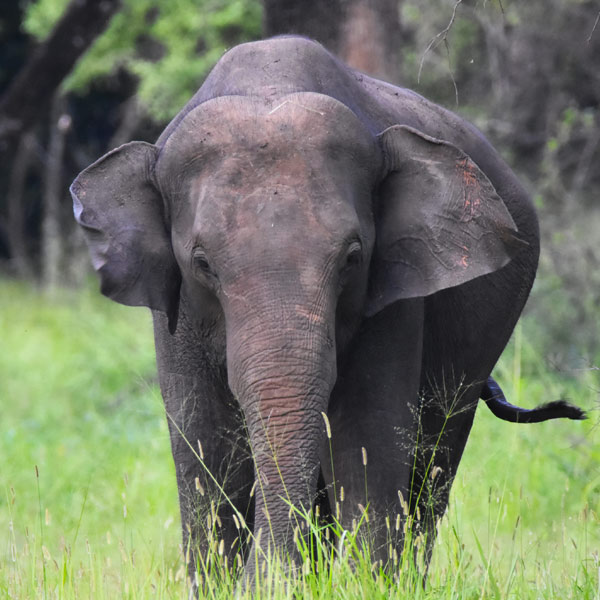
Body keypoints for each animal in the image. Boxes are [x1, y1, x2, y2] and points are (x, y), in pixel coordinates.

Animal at [71, 36, 584, 580]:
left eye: (353, 257)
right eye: (203, 263)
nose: (267, 574)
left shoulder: (393, 297)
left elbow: (366, 444)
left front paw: (366, 583)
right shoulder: (178, 311)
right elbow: (207, 455)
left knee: (433, 469)